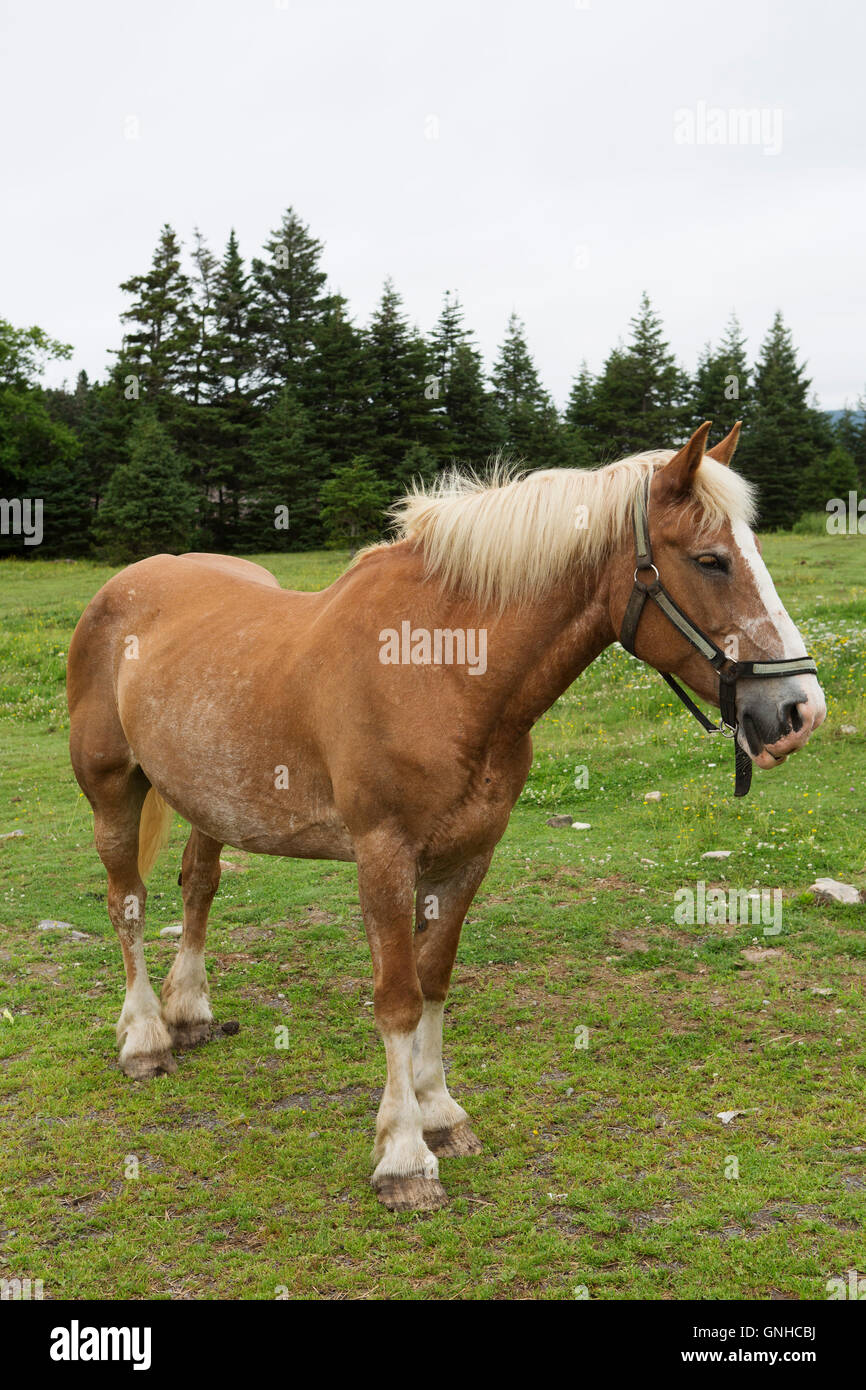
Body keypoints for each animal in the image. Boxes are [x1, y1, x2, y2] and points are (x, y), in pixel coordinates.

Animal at [66, 419, 828, 1206]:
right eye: (710, 560)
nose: (798, 711)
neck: (440, 667)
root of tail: (123, 587)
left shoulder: (467, 856)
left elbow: (434, 982)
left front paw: (439, 1115)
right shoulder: (384, 855)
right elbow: (397, 998)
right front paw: (404, 1157)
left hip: (208, 802)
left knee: (198, 885)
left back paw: (189, 1013)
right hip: (113, 789)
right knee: (127, 901)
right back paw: (145, 1039)